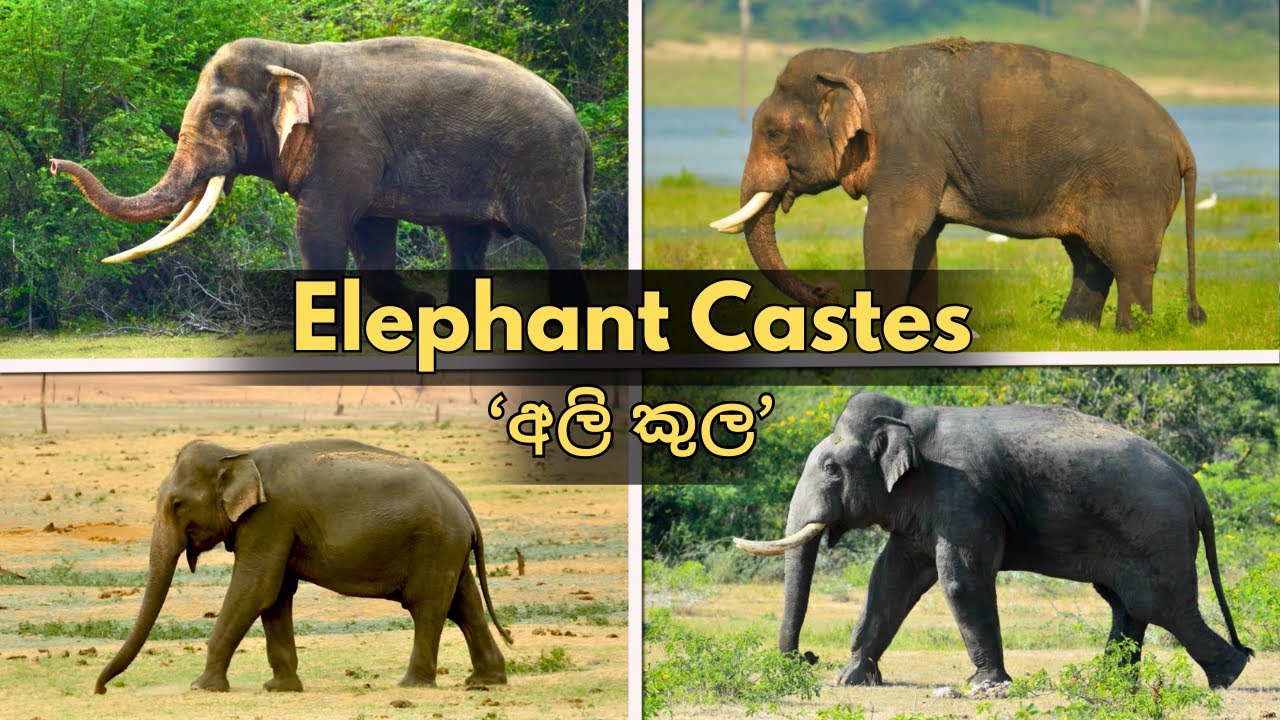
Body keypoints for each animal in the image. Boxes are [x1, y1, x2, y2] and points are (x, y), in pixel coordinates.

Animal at [50, 36, 591, 311]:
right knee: (467, 242)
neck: (291, 55)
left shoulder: (345, 141)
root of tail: (580, 128)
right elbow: (371, 233)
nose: (53, 163)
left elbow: (322, 228)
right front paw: (414, 303)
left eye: (220, 117)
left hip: (548, 169)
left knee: (559, 243)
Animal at [94, 438, 511, 694]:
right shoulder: (278, 527)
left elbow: (256, 587)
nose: (100, 689)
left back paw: (412, 685)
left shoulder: (271, 518)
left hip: (434, 542)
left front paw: (202, 687)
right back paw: (484, 681)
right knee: (465, 605)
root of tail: (462, 500)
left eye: (177, 505)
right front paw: (279, 689)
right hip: (447, 547)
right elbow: (275, 594)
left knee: (428, 607)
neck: (238, 453)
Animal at [709, 40, 1204, 331]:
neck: (858, 65)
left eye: (773, 133)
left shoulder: (907, 150)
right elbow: (923, 239)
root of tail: (1182, 141)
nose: (825, 290)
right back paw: (1073, 331)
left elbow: (891, 232)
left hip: (1131, 183)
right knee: (1089, 258)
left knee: (1128, 261)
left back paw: (1131, 333)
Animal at [734, 392, 1252, 689]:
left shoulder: (963, 491)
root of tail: (1194, 487)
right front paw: (851, 680)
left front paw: (987, 687)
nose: (806, 658)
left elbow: (960, 579)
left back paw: (1229, 675)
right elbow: (891, 579)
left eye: (830, 469)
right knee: (1127, 604)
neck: (911, 421)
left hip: (1155, 530)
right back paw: (1110, 683)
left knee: (1159, 604)